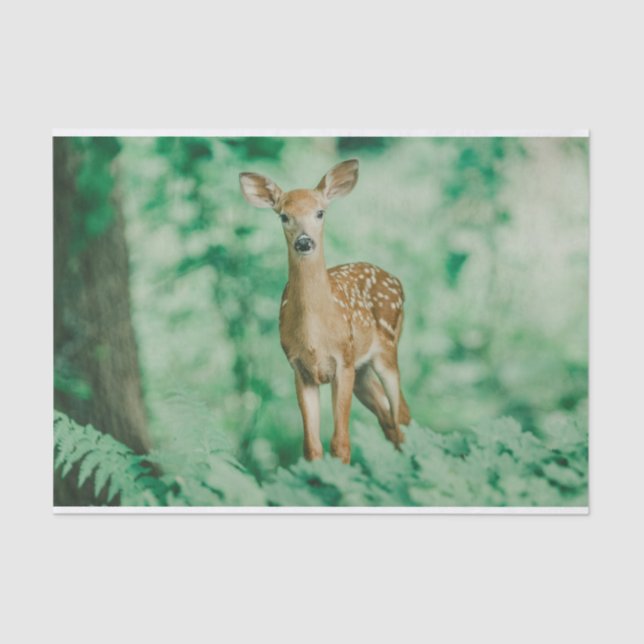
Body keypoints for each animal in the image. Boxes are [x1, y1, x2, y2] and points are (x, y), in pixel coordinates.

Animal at [239, 159, 410, 464]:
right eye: (283, 216)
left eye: (320, 212)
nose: (304, 242)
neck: (314, 337)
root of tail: (396, 280)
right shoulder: (300, 370)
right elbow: (311, 447)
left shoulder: (342, 362)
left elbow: (340, 443)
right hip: (362, 370)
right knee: (389, 418)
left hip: (387, 349)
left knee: (400, 413)